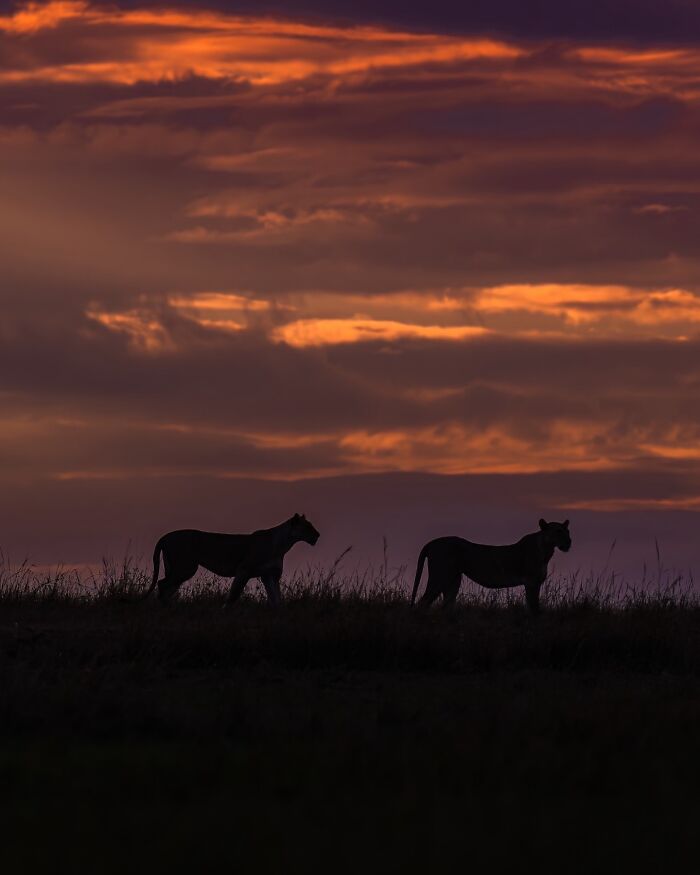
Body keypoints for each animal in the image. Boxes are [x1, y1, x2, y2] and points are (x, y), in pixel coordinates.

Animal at [141, 513, 320, 606]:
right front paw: (225, 611)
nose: (317, 535)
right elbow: (233, 595)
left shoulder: (270, 576)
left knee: (168, 586)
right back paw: (164, 608)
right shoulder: (244, 570)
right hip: (185, 568)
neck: (283, 545)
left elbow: (276, 599)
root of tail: (165, 536)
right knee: (162, 584)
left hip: (176, 568)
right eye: (307, 527)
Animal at [411, 519, 571, 613]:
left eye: (568, 532)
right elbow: (534, 608)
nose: (569, 542)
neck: (546, 550)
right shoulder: (531, 582)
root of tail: (432, 542)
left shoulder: (534, 583)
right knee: (422, 603)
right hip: (439, 577)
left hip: (453, 580)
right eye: (558, 531)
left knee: (447, 605)